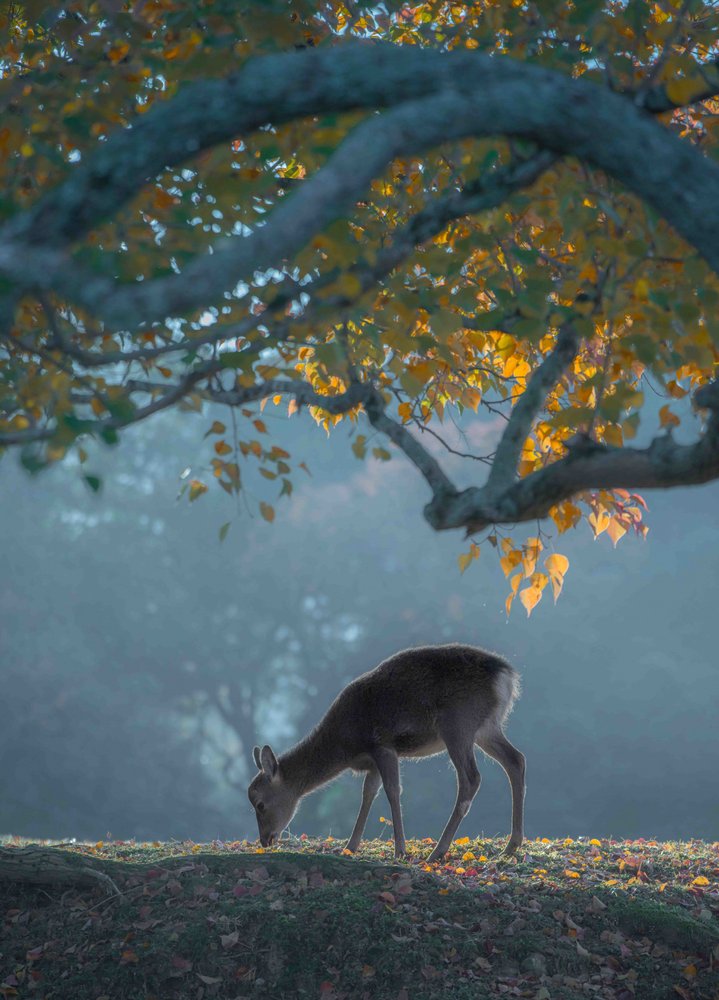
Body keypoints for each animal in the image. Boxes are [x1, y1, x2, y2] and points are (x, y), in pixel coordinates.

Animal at [248, 643, 525, 862]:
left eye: (260, 804)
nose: (265, 840)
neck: (346, 744)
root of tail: (507, 676)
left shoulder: (382, 745)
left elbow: (393, 791)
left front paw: (400, 851)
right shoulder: (372, 762)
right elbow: (368, 794)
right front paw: (350, 847)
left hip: (458, 724)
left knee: (471, 778)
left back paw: (437, 851)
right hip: (486, 728)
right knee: (516, 760)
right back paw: (511, 846)